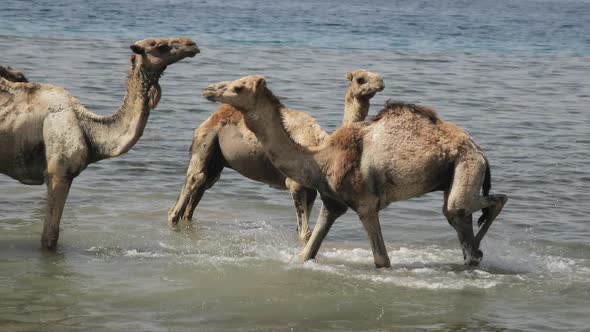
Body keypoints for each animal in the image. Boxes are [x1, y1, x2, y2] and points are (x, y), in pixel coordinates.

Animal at [169, 70, 386, 241]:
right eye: (360, 79)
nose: (381, 82)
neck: (317, 146)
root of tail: (207, 120)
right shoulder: (295, 184)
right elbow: (304, 233)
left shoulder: (310, 189)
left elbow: (302, 229)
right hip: (205, 142)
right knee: (195, 178)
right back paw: (173, 220)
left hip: (217, 159)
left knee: (204, 183)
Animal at [204, 75, 508, 268]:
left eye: (238, 87)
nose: (209, 89)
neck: (321, 159)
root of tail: (480, 151)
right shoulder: (332, 202)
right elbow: (306, 253)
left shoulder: (365, 204)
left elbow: (381, 260)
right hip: (454, 174)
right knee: (460, 218)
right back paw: (475, 253)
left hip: (467, 165)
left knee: (472, 205)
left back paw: (478, 247)